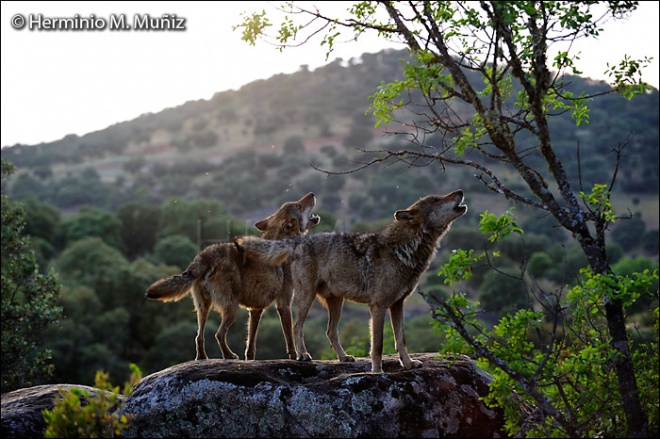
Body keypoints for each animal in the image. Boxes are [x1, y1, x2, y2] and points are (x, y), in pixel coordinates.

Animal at [145, 194, 320, 362]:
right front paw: (297, 356)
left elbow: (251, 345)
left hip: (203, 309)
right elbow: (289, 336)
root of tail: (204, 256)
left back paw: (202, 358)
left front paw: (250, 360)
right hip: (232, 308)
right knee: (219, 334)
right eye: (299, 205)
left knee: (199, 336)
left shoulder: (256, 309)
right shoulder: (284, 304)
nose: (312, 193)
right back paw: (229, 356)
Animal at [235, 191, 466, 372]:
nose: (460, 191)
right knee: (296, 327)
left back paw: (344, 357)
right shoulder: (379, 306)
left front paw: (408, 364)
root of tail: (300, 239)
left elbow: (401, 340)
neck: (404, 251)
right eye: (436, 199)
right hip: (306, 297)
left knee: (330, 332)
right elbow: (378, 346)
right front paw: (377, 372)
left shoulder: (398, 305)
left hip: (337, 303)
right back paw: (303, 355)